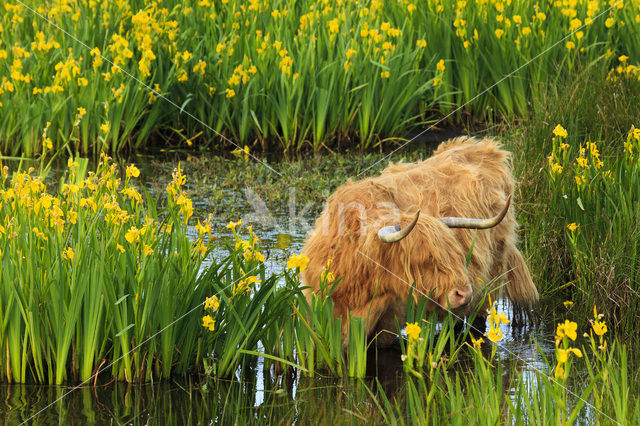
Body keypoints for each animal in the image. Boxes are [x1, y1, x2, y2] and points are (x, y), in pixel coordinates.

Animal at [302, 136, 536, 346]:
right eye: (425, 258)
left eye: (457, 254)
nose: (464, 293)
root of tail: (485, 148)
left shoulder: (388, 324)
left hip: (490, 284)